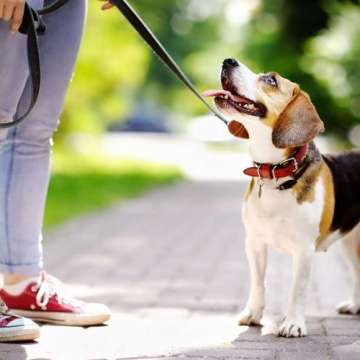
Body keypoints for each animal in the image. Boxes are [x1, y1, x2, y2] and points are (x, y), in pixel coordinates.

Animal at [204, 58, 360, 338]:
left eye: (271, 80)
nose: (228, 60)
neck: (275, 173)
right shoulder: (254, 243)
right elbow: (258, 283)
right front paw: (253, 314)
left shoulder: (304, 250)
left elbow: (297, 290)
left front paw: (293, 323)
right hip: (350, 241)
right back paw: (354, 305)